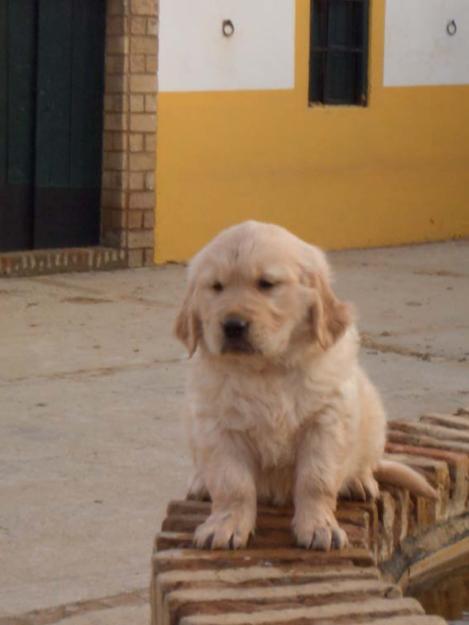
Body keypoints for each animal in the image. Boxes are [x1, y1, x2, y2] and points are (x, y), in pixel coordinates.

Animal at [174, 221, 436, 552]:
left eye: (266, 284)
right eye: (216, 287)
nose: (232, 326)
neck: (266, 371)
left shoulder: (326, 421)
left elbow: (316, 480)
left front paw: (319, 527)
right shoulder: (218, 425)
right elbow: (233, 483)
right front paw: (226, 524)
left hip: (374, 414)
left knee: (366, 460)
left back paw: (358, 480)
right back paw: (200, 482)